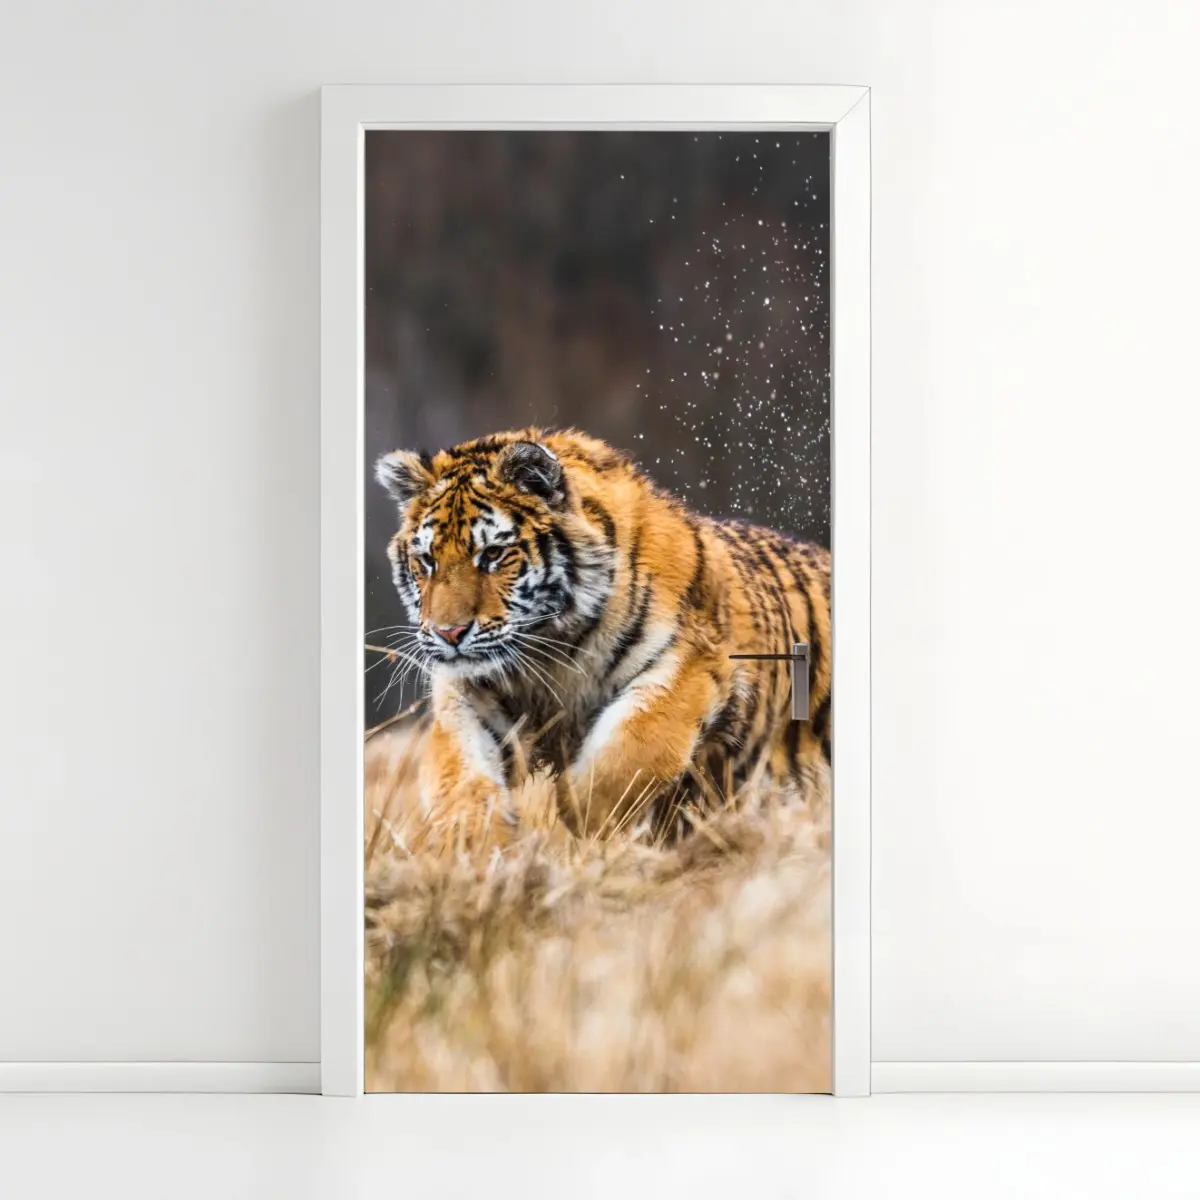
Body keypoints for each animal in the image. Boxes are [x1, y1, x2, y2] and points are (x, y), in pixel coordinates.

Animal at [374, 427, 831, 842]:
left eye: (493, 554)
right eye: (427, 560)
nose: (448, 633)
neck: (549, 649)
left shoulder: (689, 666)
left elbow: (634, 749)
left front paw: (581, 822)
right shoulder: (466, 693)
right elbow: (459, 774)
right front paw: (476, 847)